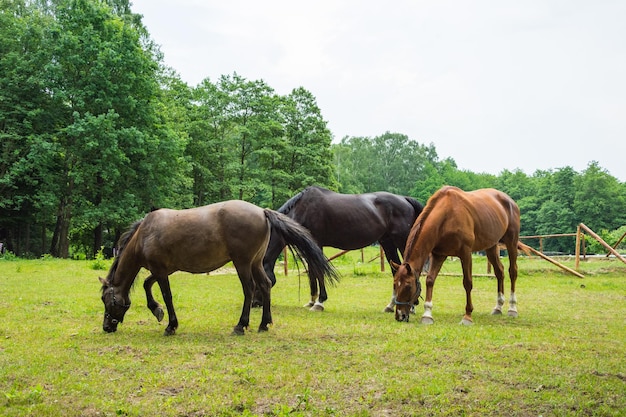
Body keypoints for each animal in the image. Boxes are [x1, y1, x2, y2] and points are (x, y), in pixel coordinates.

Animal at [100, 199, 338, 334]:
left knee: (250, 289)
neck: (146, 234)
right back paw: (263, 324)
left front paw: (170, 324)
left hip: (243, 264)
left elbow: (166, 295)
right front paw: (157, 310)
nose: (106, 327)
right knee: (265, 285)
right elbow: (147, 285)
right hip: (255, 264)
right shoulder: (164, 270)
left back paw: (241, 325)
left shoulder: (160, 270)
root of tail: (262, 211)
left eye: (105, 300)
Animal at [256, 187, 422, 310]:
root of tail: (405, 199)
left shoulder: (317, 244)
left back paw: (412, 306)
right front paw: (311, 301)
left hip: (402, 241)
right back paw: (391, 305)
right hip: (387, 243)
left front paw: (319, 302)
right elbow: (312, 273)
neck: (303, 209)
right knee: (396, 269)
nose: (255, 303)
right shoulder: (309, 247)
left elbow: (318, 271)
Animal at [392, 185, 520, 324]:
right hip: (491, 246)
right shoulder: (438, 255)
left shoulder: (465, 253)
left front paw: (467, 316)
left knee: (512, 272)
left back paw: (512, 308)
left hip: (511, 242)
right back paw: (498, 307)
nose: (399, 315)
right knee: (499, 272)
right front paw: (427, 315)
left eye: (408, 286)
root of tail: (510, 201)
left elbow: (467, 283)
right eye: (395, 285)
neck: (446, 217)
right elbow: (430, 280)